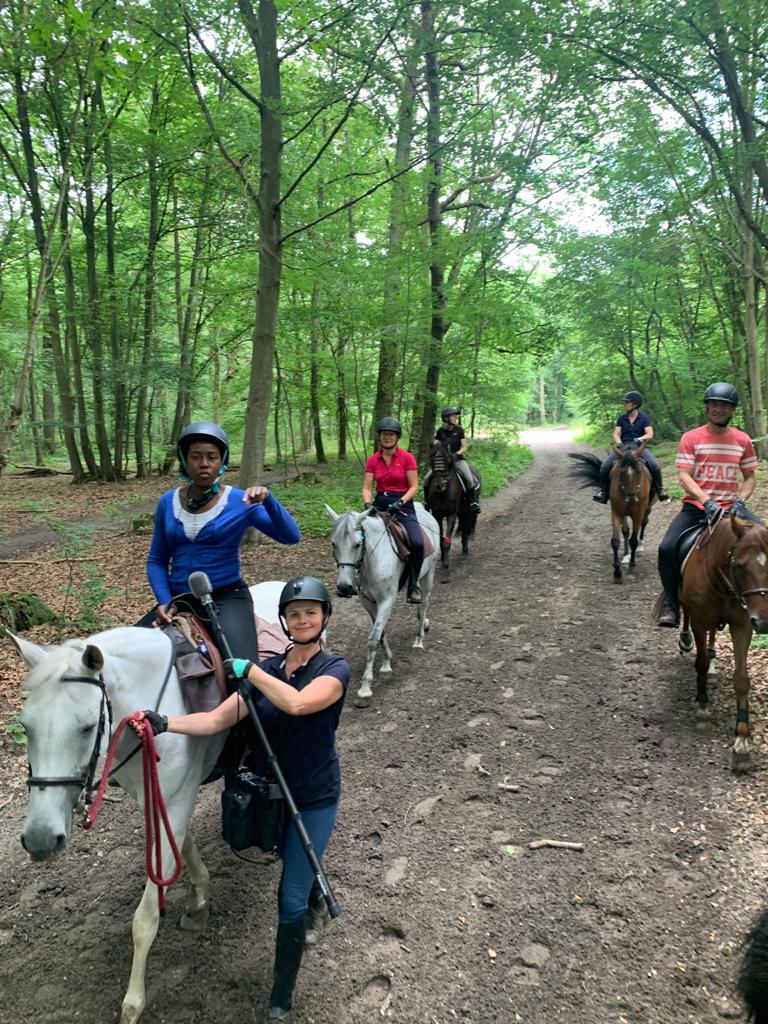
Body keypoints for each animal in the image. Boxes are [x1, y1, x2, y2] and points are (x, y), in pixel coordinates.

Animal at [12, 581, 284, 1024]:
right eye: (25, 726)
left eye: (87, 726)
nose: (39, 839)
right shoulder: (159, 797)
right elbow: (182, 844)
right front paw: (199, 897)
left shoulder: (175, 797)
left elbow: (144, 919)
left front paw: (133, 1002)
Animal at [327, 503, 442, 704]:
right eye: (334, 544)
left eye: (357, 544)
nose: (344, 587)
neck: (373, 560)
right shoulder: (369, 604)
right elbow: (381, 633)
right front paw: (387, 663)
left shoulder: (386, 601)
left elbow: (373, 639)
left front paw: (365, 687)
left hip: (429, 573)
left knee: (424, 605)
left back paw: (419, 639)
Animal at [428, 440, 481, 569]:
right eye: (431, 459)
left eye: (447, 459)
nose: (439, 485)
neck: (443, 493)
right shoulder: (437, 515)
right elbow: (441, 539)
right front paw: (442, 558)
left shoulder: (451, 514)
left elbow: (447, 540)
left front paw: (446, 565)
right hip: (462, 511)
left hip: (469, 510)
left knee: (466, 529)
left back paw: (465, 551)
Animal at [569, 442, 659, 585]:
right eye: (621, 473)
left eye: (639, 471)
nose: (632, 500)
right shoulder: (617, 512)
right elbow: (616, 541)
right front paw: (617, 572)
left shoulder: (638, 513)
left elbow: (633, 540)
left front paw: (632, 569)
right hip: (625, 513)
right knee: (626, 531)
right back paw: (626, 556)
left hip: (647, 509)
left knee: (644, 524)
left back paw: (640, 546)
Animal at [675, 512, 768, 770]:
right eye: (738, 565)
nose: (764, 622)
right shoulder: (699, 621)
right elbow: (700, 663)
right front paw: (702, 709)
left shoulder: (742, 625)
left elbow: (742, 679)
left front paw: (742, 743)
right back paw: (685, 640)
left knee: (713, 638)